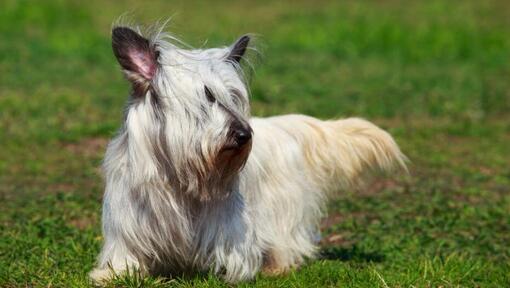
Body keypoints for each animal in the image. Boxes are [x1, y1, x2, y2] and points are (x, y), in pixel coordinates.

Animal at [88, 24, 406, 284]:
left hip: (282, 210)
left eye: (233, 97)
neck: (179, 176)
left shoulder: (228, 226)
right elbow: (126, 256)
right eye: (207, 97)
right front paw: (111, 274)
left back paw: (276, 266)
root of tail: (280, 126)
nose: (244, 134)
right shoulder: (129, 222)